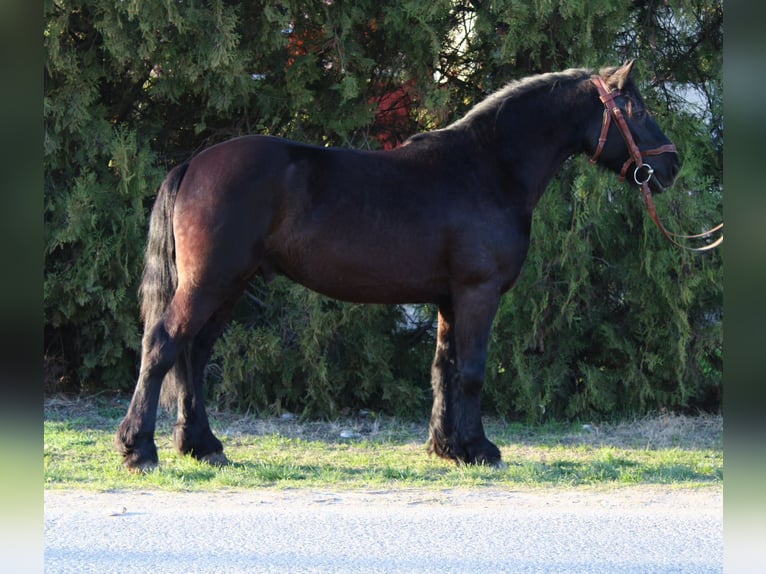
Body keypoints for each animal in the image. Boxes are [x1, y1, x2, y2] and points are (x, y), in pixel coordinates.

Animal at [116, 61, 680, 472]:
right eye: (636, 108)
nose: (671, 165)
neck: (487, 169)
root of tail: (195, 164)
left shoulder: (450, 299)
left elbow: (443, 369)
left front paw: (447, 447)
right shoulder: (478, 293)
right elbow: (471, 372)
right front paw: (479, 450)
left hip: (227, 285)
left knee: (193, 354)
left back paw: (202, 445)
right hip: (210, 283)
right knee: (163, 344)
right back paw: (139, 449)